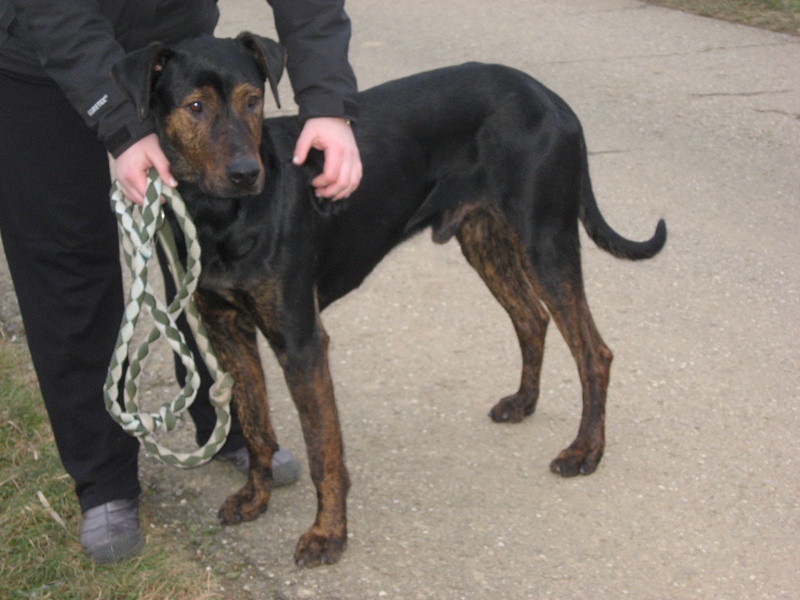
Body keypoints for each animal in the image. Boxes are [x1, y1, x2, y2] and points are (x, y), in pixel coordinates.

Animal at [109, 32, 664, 568]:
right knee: (531, 318)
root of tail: (551, 98)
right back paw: (524, 402)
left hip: (545, 240)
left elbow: (323, 451)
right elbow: (256, 422)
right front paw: (256, 497)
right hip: (483, 237)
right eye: (196, 106)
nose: (248, 172)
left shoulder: (301, 341)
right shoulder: (226, 328)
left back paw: (585, 451)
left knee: (593, 352)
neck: (223, 215)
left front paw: (328, 535)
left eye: (252, 100)